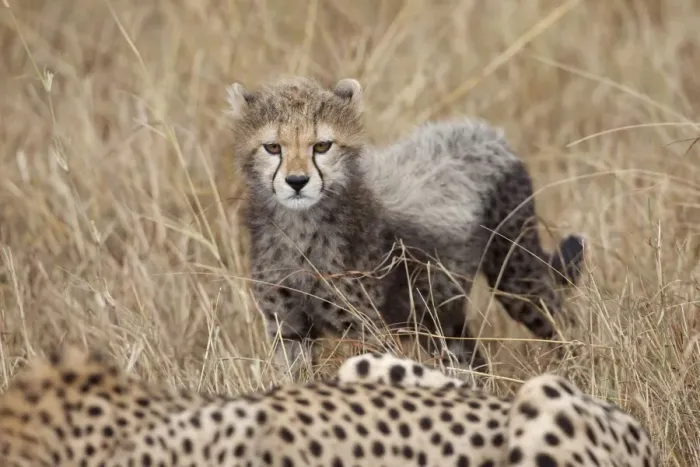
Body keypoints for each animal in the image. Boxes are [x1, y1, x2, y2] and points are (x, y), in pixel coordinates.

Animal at [225, 75, 585, 377]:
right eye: (273, 147)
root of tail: (484, 131)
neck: (299, 228)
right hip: (438, 314)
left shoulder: (366, 330)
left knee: (562, 322)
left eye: (322, 146)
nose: (297, 182)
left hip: (515, 275)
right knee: (469, 358)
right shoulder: (288, 330)